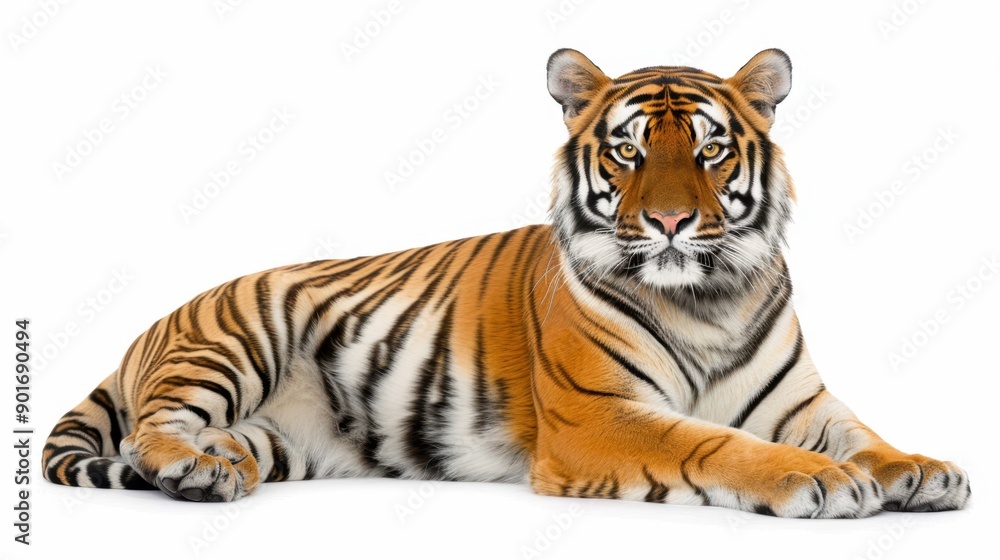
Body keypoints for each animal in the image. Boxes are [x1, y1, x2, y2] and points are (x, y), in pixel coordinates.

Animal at [43, 48, 970, 517]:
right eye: (628, 150)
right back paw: (189, 472)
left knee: (219, 440)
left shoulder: (800, 402)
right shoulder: (597, 415)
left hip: (280, 436)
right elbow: (714, 443)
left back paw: (216, 465)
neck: (710, 299)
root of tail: (150, 327)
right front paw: (818, 482)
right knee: (149, 431)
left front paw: (922, 470)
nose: (671, 222)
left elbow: (864, 434)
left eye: (709, 150)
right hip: (232, 341)